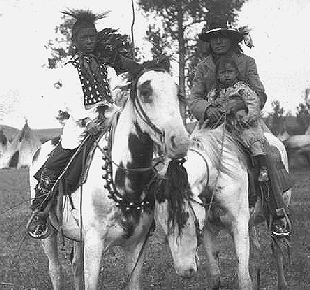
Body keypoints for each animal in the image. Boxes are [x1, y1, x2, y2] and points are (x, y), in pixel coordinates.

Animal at [28, 60, 189, 288]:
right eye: (145, 91)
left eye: (178, 93)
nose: (180, 142)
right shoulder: (94, 246)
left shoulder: (136, 247)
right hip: (48, 234)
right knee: (55, 271)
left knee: (75, 265)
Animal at [156, 124, 292, 290]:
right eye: (162, 224)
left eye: (185, 218)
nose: (184, 271)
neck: (216, 179)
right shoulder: (207, 229)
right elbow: (215, 275)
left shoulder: (239, 226)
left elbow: (244, 279)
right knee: (256, 252)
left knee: (276, 248)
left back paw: (282, 283)